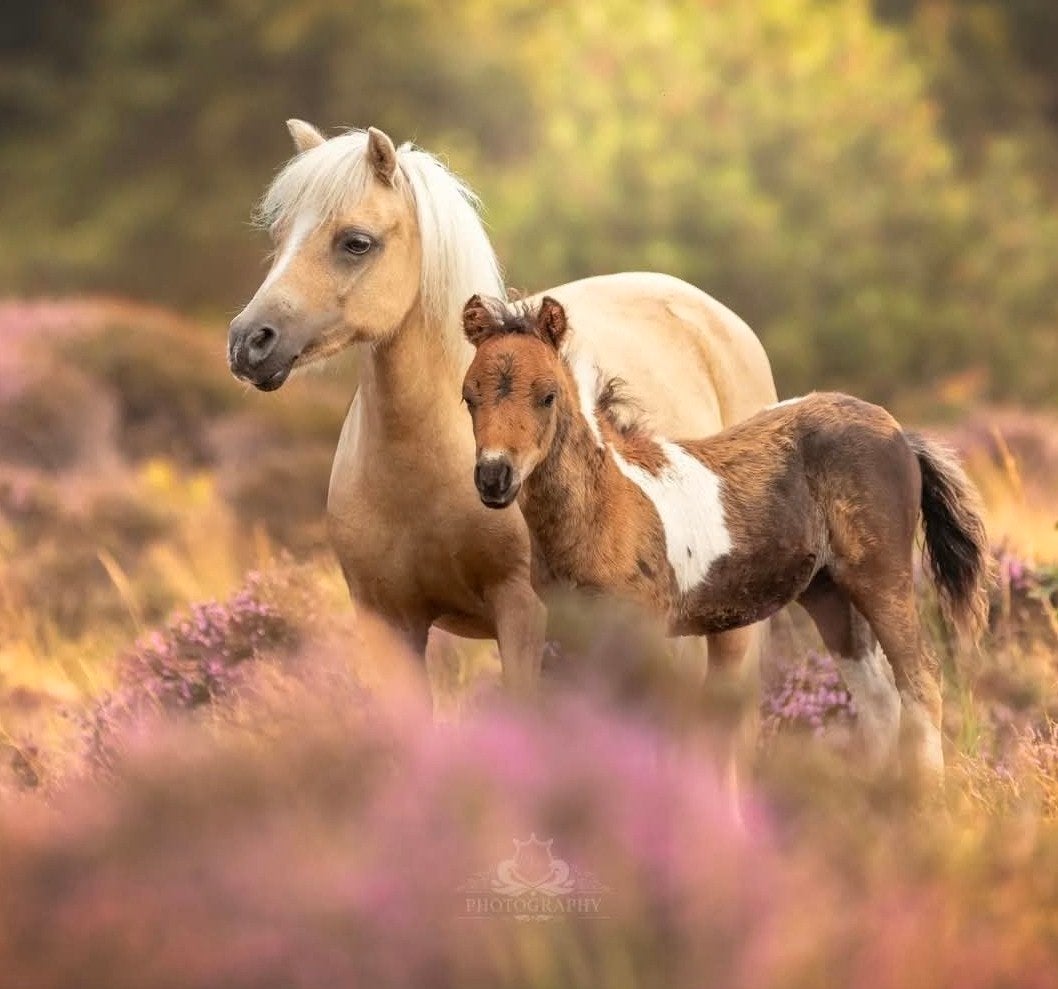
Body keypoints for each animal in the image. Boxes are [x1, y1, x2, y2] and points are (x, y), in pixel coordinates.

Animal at [227, 121, 886, 768]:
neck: (426, 469)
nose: (249, 342)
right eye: (281, 235)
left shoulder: (522, 614)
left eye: (356, 242)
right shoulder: (387, 622)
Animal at [460, 294, 991, 783]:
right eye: (469, 396)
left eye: (546, 395)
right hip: (828, 591)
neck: (604, 507)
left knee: (919, 680)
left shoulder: (646, 630)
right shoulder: (574, 633)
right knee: (877, 696)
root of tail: (900, 431)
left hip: (881, 577)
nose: (494, 478)